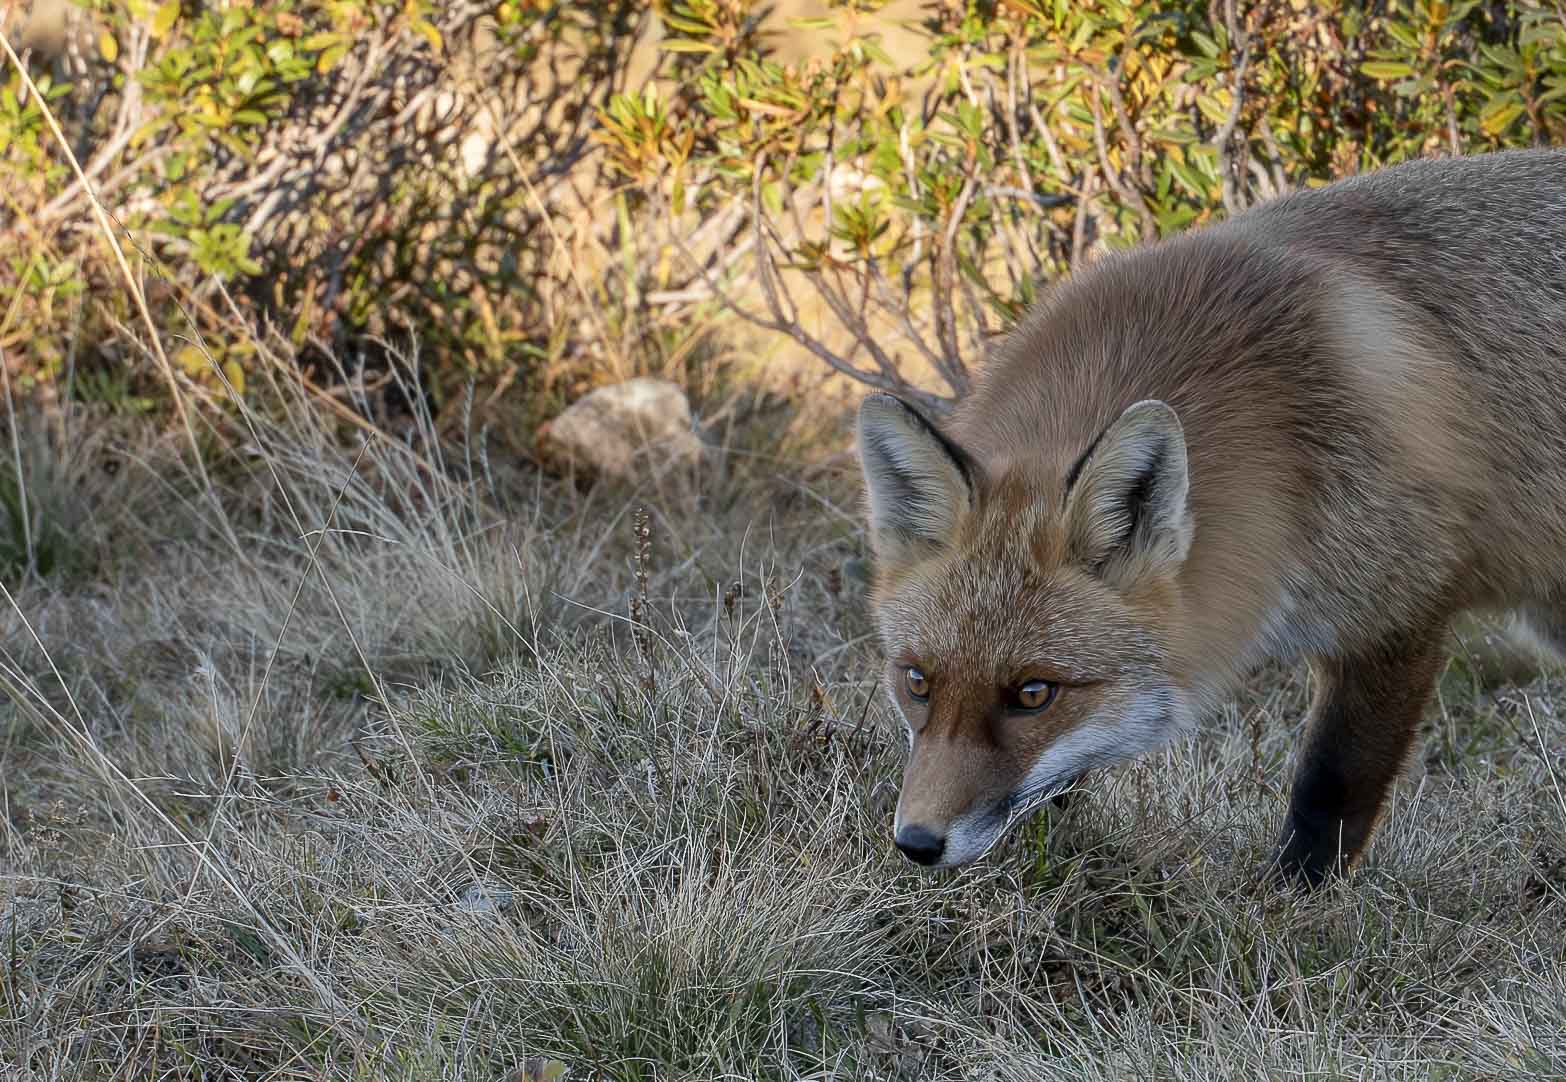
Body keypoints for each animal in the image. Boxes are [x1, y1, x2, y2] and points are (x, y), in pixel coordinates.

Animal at [858, 146, 1566, 889]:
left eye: (1032, 694)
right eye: (917, 682)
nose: (916, 843)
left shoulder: (1398, 619)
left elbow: (1330, 790)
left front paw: (1292, 902)